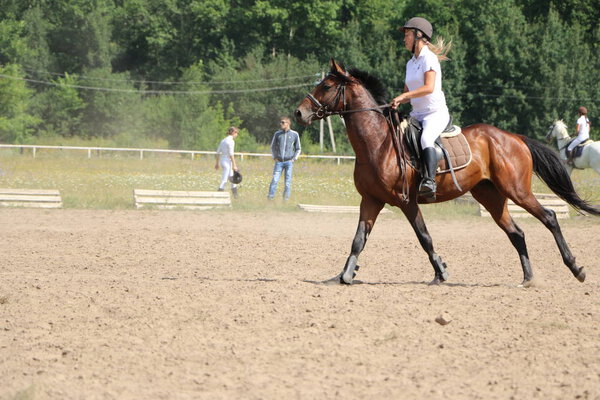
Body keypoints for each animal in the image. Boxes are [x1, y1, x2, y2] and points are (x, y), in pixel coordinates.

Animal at [292, 58, 596, 288]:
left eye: (326, 85)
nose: (298, 113)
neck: (377, 143)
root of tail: (514, 137)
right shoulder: (371, 200)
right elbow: (358, 240)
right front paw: (344, 274)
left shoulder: (407, 202)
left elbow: (424, 236)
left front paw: (441, 271)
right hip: (490, 195)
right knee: (517, 233)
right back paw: (528, 278)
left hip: (517, 190)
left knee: (550, 217)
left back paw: (576, 269)